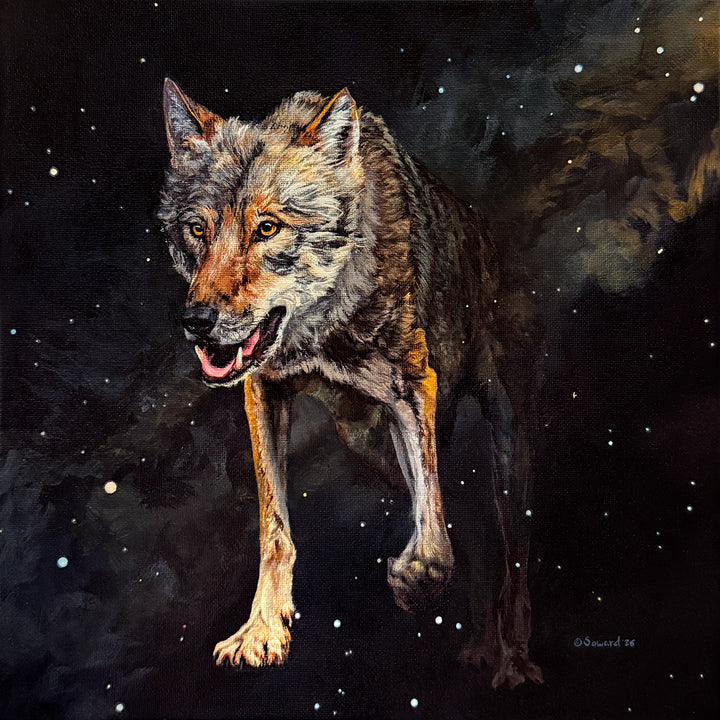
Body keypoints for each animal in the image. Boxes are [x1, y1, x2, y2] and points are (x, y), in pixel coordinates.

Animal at [158, 79, 543, 688]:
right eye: (199, 229)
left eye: (267, 228)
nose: (196, 321)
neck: (323, 326)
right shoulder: (263, 394)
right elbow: (275, 530)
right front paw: (261, 631)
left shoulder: (415, 387)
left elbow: (433, 542)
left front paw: (414, 579)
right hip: (370, 445)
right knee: (462, 521)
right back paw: (483, 645)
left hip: (505, 438)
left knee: (510, 547)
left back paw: (514, 659)